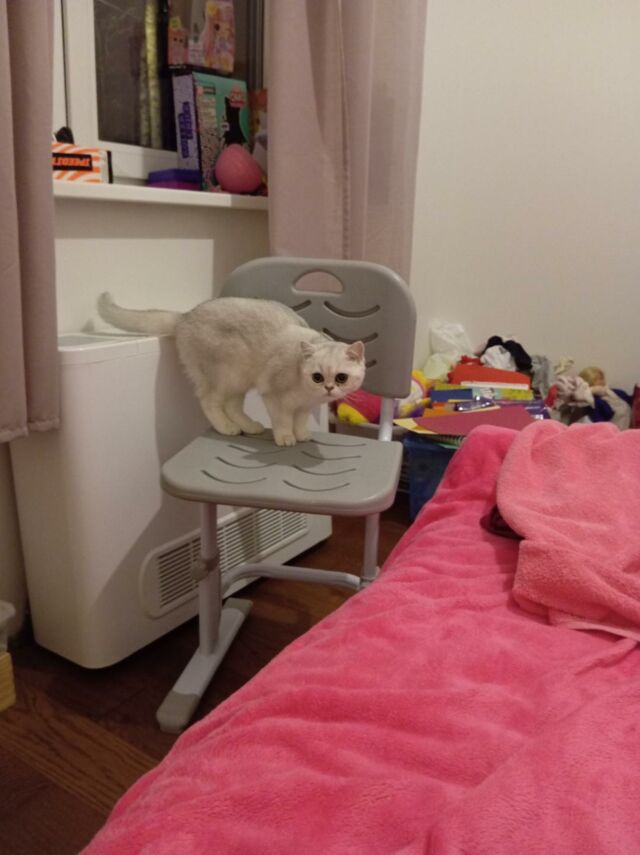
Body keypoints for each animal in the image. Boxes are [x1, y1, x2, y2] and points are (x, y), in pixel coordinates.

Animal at [97, 293, 366, 447]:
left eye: (341, 378)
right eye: (317, 377)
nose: (329, 388)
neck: (306, 394)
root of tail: (185, 316)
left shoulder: (304, 408)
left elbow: (299, 422)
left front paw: (302, 435)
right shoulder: (274, 397)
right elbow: (282, 421)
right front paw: (286, 438)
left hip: (239, 380)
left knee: (232, 406)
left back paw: (248, 426)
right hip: (226, 376)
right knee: (210, 402)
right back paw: (226, 427)